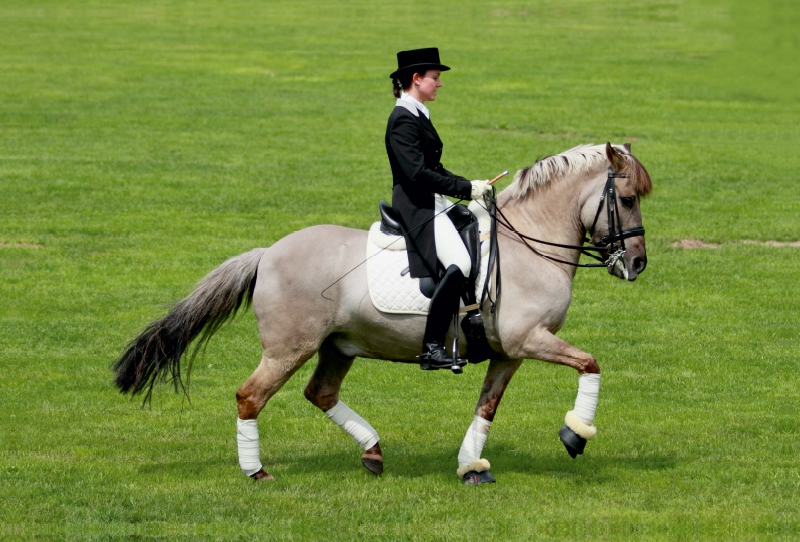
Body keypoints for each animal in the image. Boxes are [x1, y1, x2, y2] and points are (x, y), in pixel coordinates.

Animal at [112, 142, 648, 486]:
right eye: (625, 200)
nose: (637, 264)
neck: (527, 246)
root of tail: (267, 254)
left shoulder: (508, 353)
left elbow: (486, 408)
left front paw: (470, 466)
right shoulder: (528, 340)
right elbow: (591, 363)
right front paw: (575, 435)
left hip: (338, 346)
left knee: (320, 393)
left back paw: (372, 452)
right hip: (289, 348)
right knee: (250, 397)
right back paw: (257, 472)